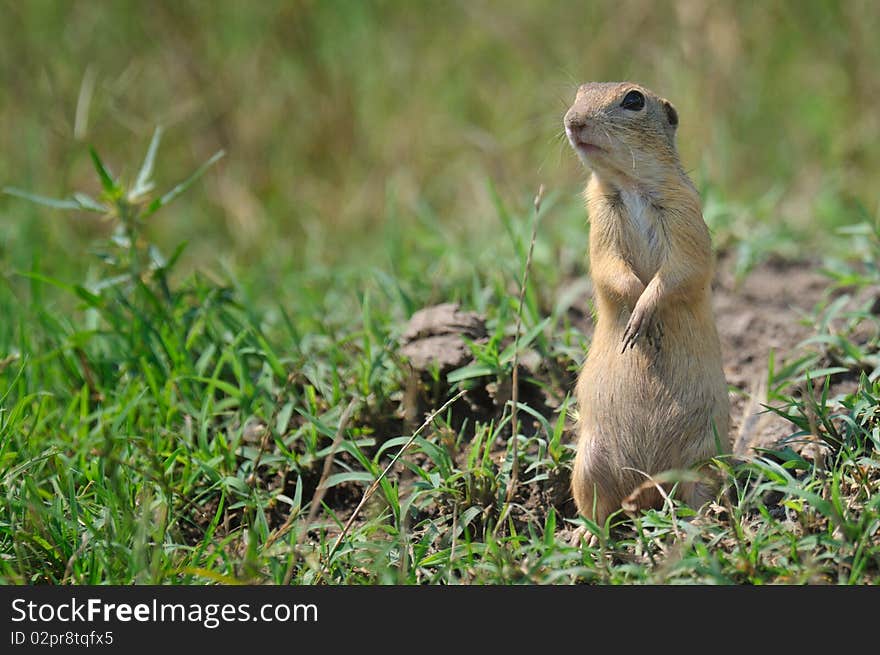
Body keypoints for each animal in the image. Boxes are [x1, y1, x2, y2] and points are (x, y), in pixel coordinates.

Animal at [564, 82, 728, 532]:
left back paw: (703, 523)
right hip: (588, 463)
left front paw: (644, 314)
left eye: (634, 99)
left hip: (706, 460)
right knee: (602, 510)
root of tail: (649, 483)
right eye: (580, 91)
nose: (572, 120)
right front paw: (636, 316)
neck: (630, 184)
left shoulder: (685, 210)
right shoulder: (600, 218)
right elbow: (610, 269)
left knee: (698, 496)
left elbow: (682, 269)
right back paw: (586, 536)